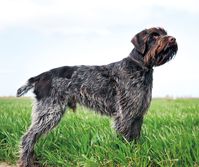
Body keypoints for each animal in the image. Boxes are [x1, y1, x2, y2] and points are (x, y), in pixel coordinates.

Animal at [15, 26, 177, 166]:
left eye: (164, 33)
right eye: (154, 35)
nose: (173, 39)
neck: (139, 66)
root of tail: (40, 76)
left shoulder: (137, 114)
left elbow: (135, 138)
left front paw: (135, 153)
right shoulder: (124, 114)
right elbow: (125, 138)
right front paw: (126, 156)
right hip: (49, 112)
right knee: (27, 138)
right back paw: (25, 162)